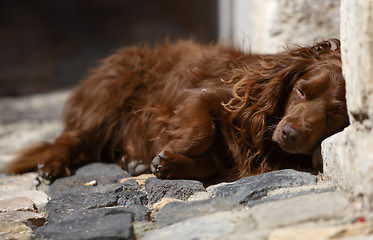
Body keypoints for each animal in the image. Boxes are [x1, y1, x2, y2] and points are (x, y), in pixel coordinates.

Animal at [4, 39, 348, 182]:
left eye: (336, 115)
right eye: (301, 90)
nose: (289, 133)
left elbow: (209, 162)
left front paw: (170, 164)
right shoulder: (201, 97)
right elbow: (202, 129)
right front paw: (171, 151)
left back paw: (133, 161)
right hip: (106, 98)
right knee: (69, 139)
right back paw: (52, 165)